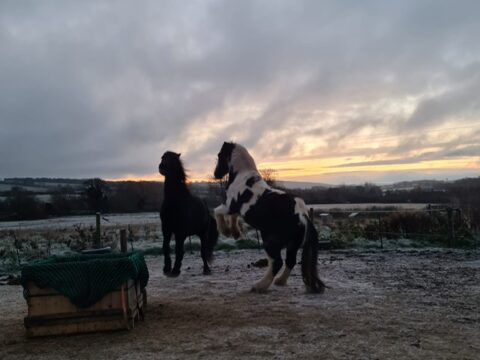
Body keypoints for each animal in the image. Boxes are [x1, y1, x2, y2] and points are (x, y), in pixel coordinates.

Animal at [158, 150, 218, 278]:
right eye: (162, 157)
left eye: (173, 159)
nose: (162, 167)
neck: (175, 200)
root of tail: (206, 207)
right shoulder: (166, 228)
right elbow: (165, 247)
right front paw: (167, 268)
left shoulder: (180, 232)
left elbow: (178, 250)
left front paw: (175, 270)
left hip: (203, 234)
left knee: (203, 251)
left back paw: (206, 270)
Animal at [215, 142, 324, 294]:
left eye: (219, 155)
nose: (216, 174)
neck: (243, 178)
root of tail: (302, 216)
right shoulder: (235, 209)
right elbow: (233, 217)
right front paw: (235, 232)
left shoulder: (229, 205)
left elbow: (217, 211)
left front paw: (225, 231)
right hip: (292, 245)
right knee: (289, 261)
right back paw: (279, 281)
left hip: (269, 240)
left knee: (277, 262)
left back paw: (259, 286)